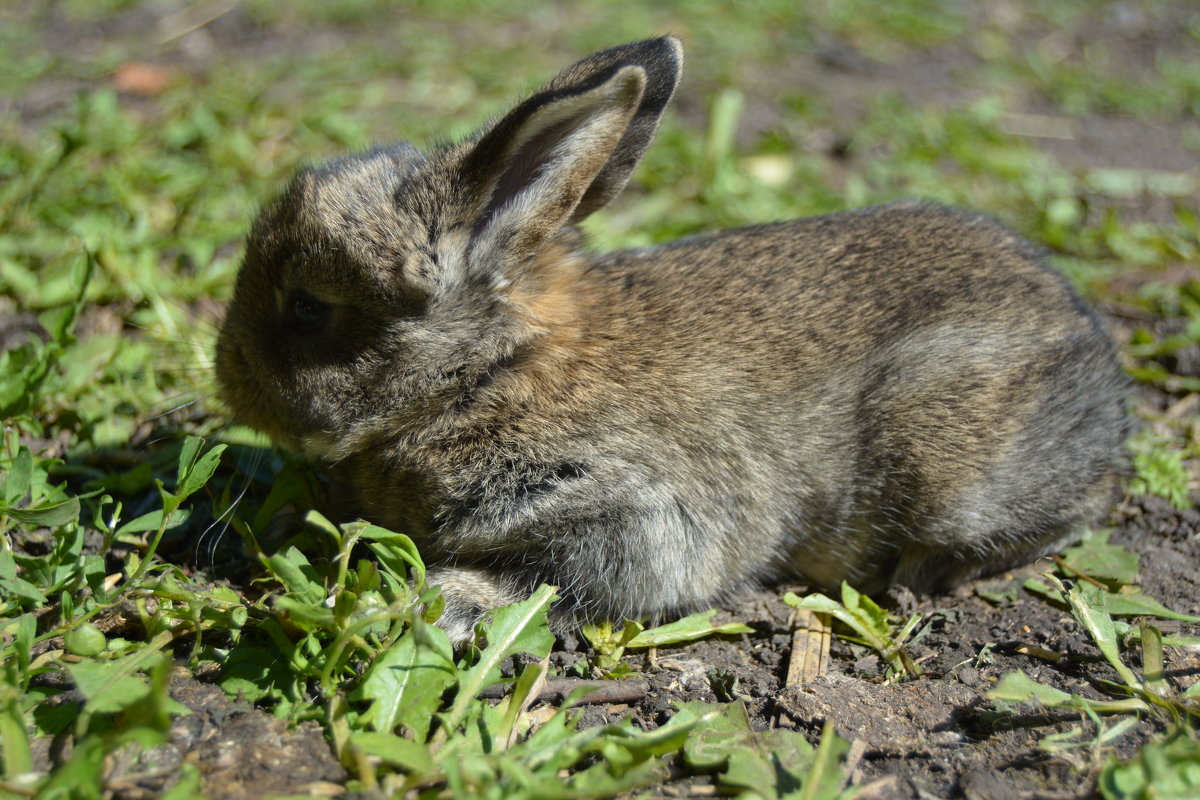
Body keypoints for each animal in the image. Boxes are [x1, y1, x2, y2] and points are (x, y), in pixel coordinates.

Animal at [216, 37, 1123, 647]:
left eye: (307, 309)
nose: (227, 374)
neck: (487, 369)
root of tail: (1099, 364)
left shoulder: (629, 514)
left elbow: (553, 579)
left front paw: (442, 599)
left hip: (945, 464)